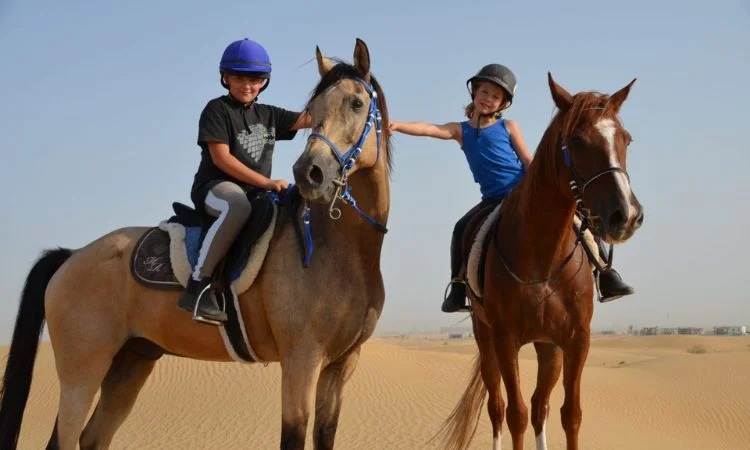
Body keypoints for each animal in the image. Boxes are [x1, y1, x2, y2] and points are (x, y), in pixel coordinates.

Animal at [1, 37, 394, 450]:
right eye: (313, 110)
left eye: (356, 104)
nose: (309, 173)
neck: (342, 251)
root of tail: (72, 257)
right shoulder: (301, 360)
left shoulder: (340, 364)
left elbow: (325, 434)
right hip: (83, 371)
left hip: (131, 362)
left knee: (93, 437)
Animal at [440, 74, 648, 450]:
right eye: (577, 140)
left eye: (626, 139)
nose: (626, 216)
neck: (543, 258)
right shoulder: (505, 340)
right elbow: (515, 415)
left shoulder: (576, 339)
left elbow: (570, 415)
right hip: (485, 337)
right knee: (498, 407)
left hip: (547, 346)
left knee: (541, 406)